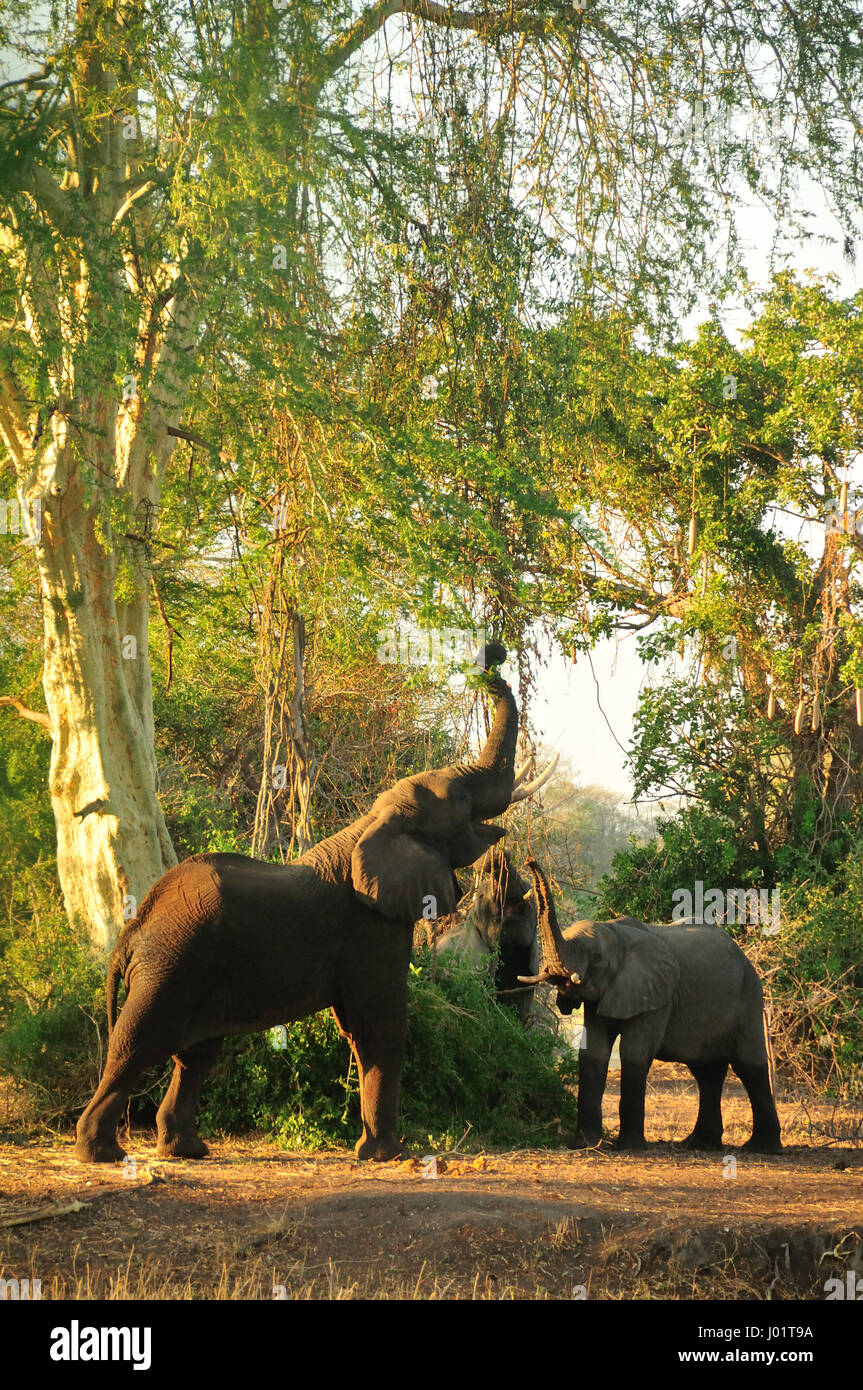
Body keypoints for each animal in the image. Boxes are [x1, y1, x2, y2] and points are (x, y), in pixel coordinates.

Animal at [75, 642, 556, 1165]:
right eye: (463, 803)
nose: (493, 652)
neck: (373, 823)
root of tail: (136, 924)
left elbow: (359, 1027)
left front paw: (372, 1150)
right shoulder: (371, 925)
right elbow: (382, 1021)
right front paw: (390, 1154)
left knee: (196, 1055)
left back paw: (186, 1150)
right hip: (170, 962)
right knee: (136, 1044)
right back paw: (101, 1153)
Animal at [519, 860, 782, 1153]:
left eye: (597, 958)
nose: (529, 861)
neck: (615, 934)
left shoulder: (657, 997)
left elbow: (634, 1052)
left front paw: (628, 1147)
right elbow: (593, 1053)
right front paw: (585, 1144)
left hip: (748, 997)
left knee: (749, 1065)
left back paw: (761, 1148)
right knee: (706, 1072)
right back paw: (700, 1144)